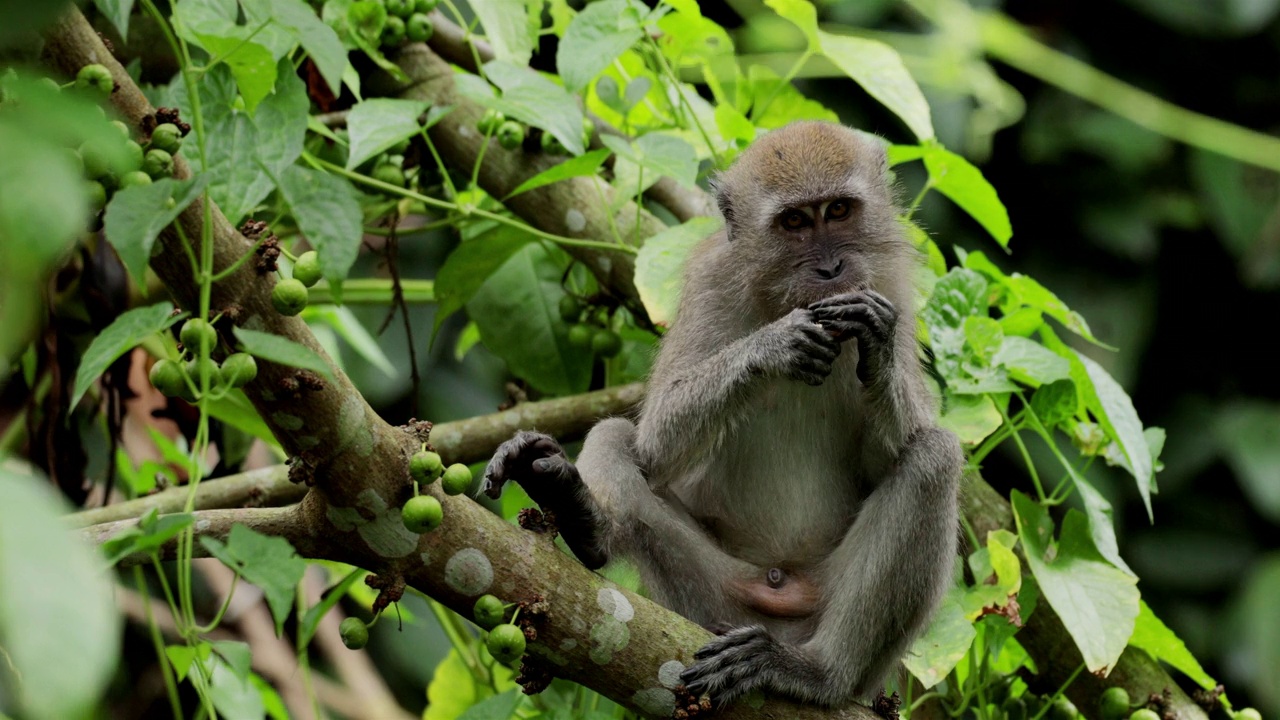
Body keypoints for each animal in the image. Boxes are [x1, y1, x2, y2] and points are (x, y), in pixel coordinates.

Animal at [481, 117, 962, 707]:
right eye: (794, 221)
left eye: (839, 211)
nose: (831, 269)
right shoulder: (712, 284)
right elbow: (658, 440)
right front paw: (774, 345)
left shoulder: (892, 285)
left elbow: (891, 452)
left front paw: (876, 340)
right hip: (708, 603)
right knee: (617, 436)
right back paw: (584, 519)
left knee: (934, 457)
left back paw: (816, 672)